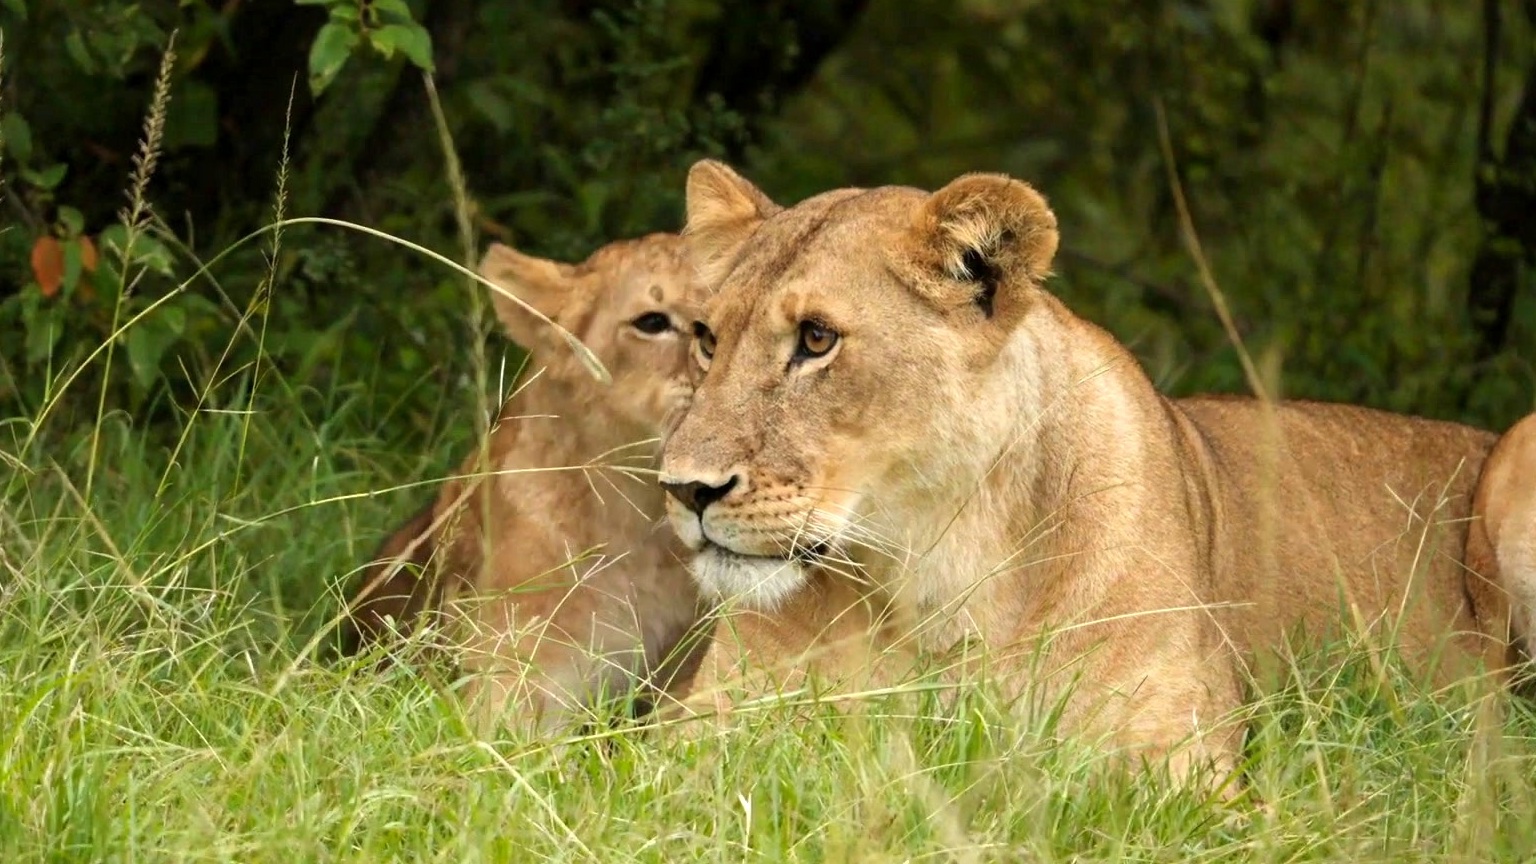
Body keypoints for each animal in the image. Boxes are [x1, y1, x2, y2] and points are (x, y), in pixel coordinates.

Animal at [656, 159, 1504, 791]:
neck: (934, 574)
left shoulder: (1184, 774)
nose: (686, 489)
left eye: (816, 338)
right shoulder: (696, 742)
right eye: (706, 339)